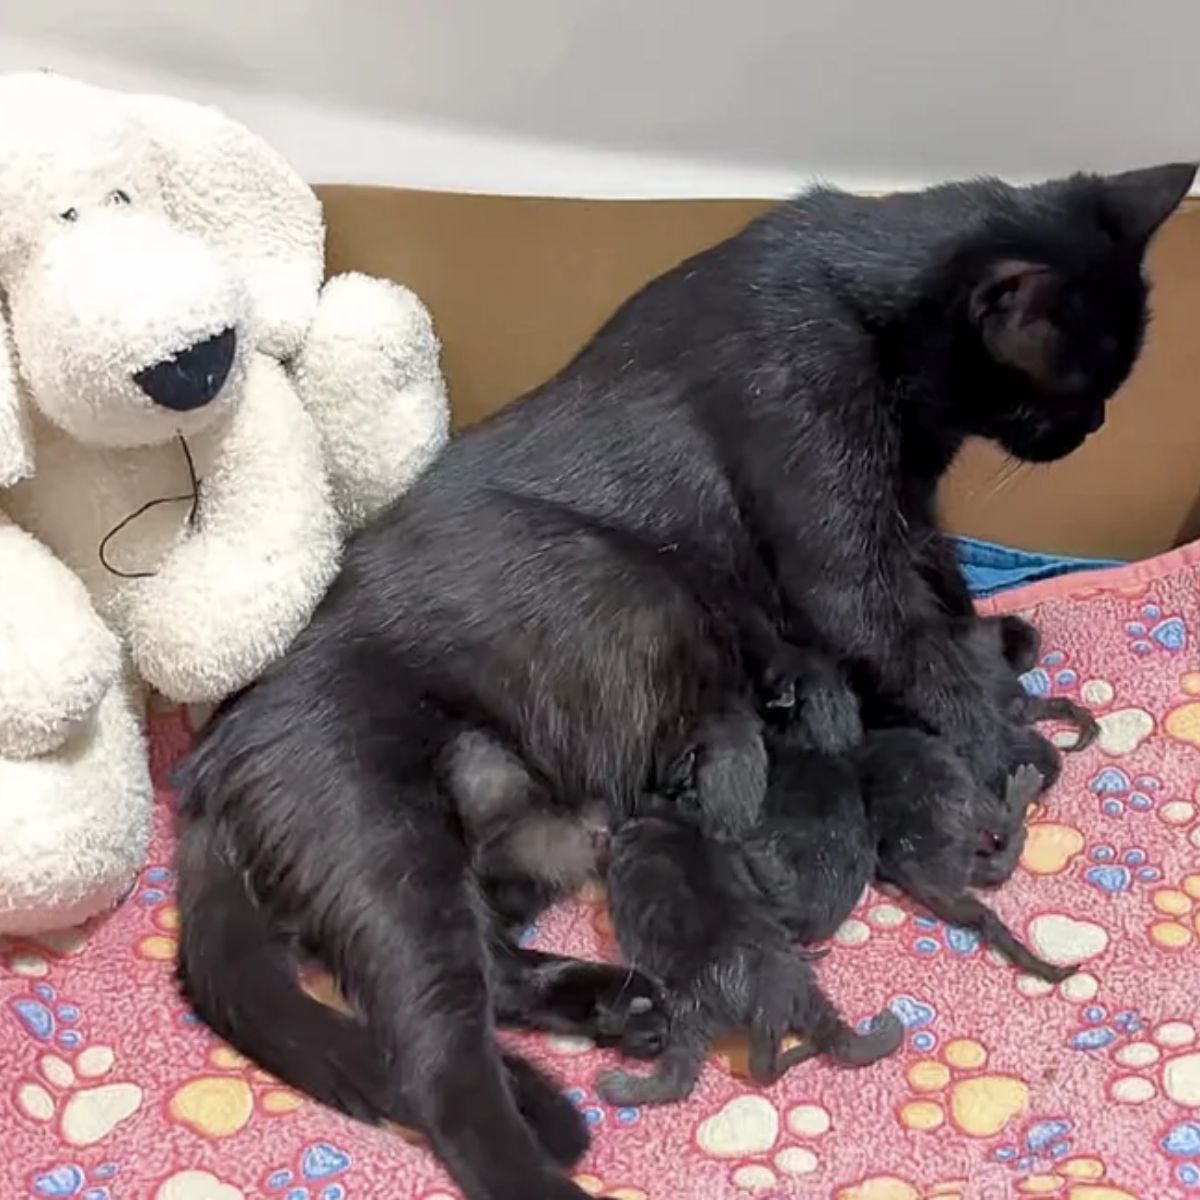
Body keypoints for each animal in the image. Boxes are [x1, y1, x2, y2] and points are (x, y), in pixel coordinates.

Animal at [171, 164, 1190, 1200]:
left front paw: (1001, 644)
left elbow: (942, 586)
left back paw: (618, 1002)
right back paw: (550, 1153)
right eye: (1074, 382)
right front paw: (1010, 741)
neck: (863, 303)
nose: (1091, 428)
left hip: (503, 851)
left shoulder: (908, 510)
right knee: (435, 1064)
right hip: (403, 833)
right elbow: (908, 636)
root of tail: (212, 764)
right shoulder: (837, 536)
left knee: (493, 973)